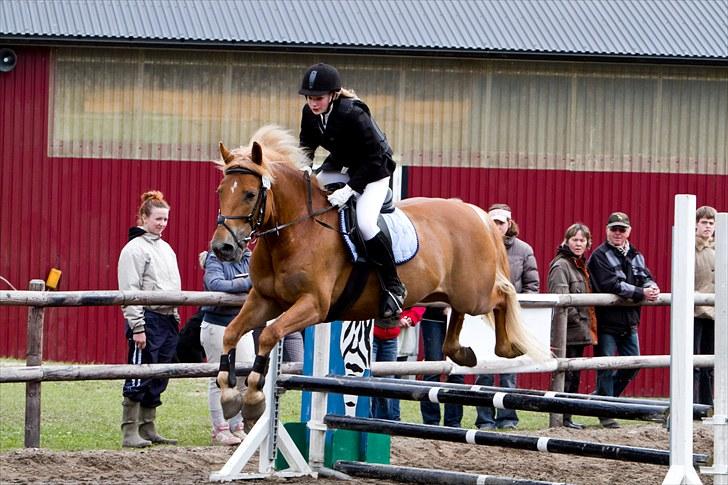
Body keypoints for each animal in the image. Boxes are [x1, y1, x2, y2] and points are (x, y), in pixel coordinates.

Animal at [208, 125, 544, 428]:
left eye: (250, 194)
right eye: (220, 192)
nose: (223, 248)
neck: (295, 232)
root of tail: (476, 213)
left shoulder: (313, 306)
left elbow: (268, 334)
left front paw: (253, 399)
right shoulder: (266, 300)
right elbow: (231, 332)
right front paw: (230, 395)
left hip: (475, 293)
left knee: (503, 296)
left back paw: (510, 348)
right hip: (454, 292)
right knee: (458, 314)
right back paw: (461, 352)